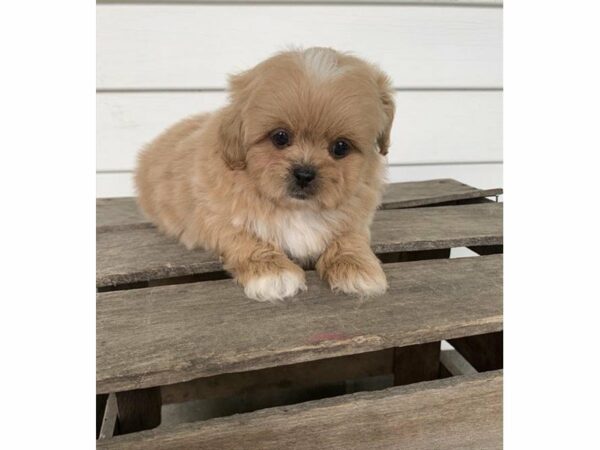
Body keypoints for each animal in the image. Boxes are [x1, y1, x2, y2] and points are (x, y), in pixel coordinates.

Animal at [138, 46, 396, 302]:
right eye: (280, 137)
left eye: (340, 147)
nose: (304, 174)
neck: (297, 209)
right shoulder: (217, 215)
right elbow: (246, 239)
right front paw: (273, 272)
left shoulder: (356, 217)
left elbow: (349, 237)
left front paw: (358, 267)